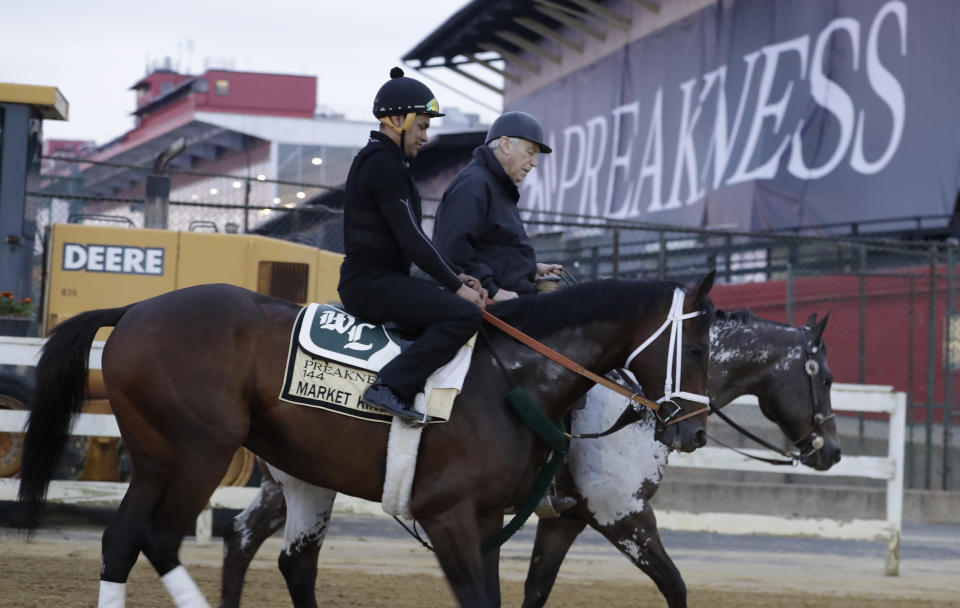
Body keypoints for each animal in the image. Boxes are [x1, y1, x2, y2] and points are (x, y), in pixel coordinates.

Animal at [18, 274, 716, 608]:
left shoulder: (492, 520)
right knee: (161, 539)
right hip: (197, 455)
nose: (696, 428)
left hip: (160, 461)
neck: (512, 376)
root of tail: (136, 309)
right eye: (699, 345)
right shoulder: (451, 515)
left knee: (122, 542)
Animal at [216, 308, 832, 608]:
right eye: (822, 376)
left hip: (297, 480)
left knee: (243, 537)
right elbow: (675, 586)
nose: (832, 450)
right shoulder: (624, 516)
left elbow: (536, 590)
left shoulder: (566, 521)